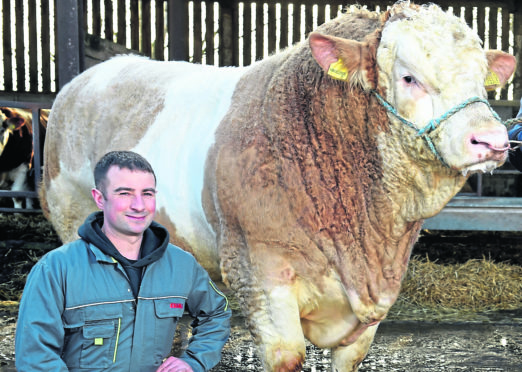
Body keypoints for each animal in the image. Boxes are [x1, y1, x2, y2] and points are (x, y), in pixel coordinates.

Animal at [39, 2, 512, 370]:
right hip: (68, 213)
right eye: (409, 77)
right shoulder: (259, 272)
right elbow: (287, 354)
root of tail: (90, 77)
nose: (492, 140)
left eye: (482, 78)